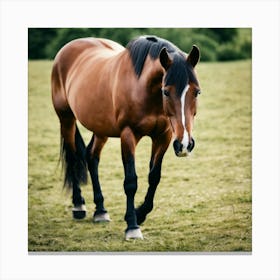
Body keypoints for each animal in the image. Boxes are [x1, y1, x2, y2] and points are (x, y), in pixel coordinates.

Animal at [51, 35, 201, 240]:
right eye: (166, 91)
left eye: (197, 91)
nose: (185, 144)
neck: (144, 89)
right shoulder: (128, 135)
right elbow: (131, 181)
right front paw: (132, 225)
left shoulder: (163, 136)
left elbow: (154, 177)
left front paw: (140, 213)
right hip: (66, 119)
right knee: (74, 158)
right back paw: (79, 205)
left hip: (101, 128)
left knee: (91, 157)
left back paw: (101, 210)